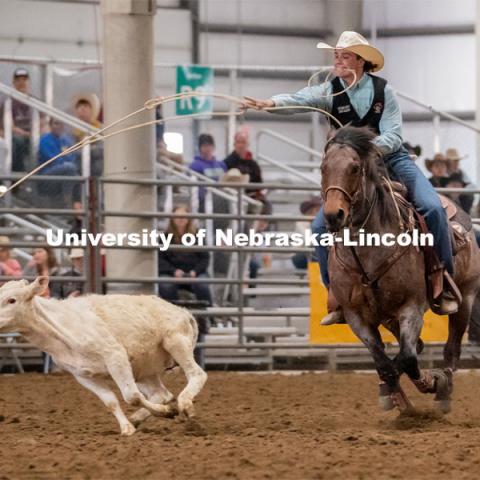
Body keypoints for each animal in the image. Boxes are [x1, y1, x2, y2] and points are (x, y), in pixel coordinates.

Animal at [0, 276, 206, 436]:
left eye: (12, 300)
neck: (61, 328)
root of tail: (183, 311)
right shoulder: (83, 375)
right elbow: (111, 402)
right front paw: (128, 427)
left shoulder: (115, 356)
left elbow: (131, 396)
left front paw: (163, 412)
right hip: (144, 370)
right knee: (162, 394)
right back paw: (146, 415)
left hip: (176, 342)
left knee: (197, 374)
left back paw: (185, 405)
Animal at [320, 126, 480, 412]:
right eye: (323, 168)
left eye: (354, 168)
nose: (332, 215)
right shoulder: (356, 316)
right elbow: (385, 361)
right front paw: (391, 393)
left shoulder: (411, 307)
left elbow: (405, 358)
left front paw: (430, 382)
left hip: (467, 296)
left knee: (451, 348)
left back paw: (444, 390)